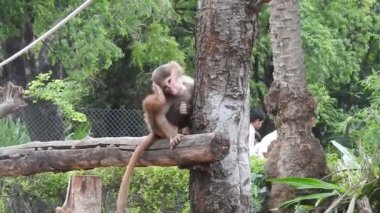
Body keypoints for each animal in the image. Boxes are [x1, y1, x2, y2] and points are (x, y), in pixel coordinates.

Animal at [116, 60, 194, 212]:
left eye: (169, 81)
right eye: (165, 87)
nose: (171, 89)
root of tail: (155, 132)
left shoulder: (190, 84)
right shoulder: (168, 98)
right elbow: (160, 115)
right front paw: (173, 136)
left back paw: (186, 128)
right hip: (157, 128)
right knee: (153, 107)